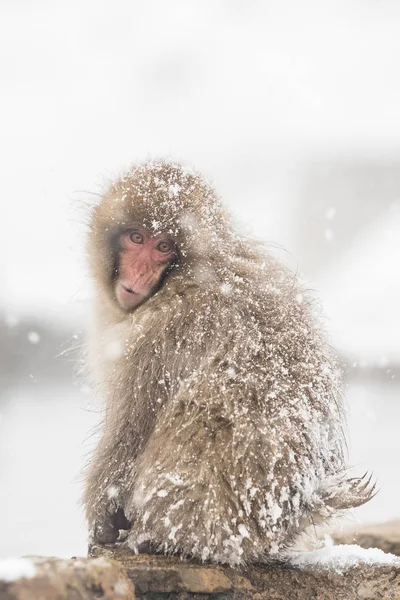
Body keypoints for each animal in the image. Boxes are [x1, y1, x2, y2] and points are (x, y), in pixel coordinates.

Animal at [83, 158, 374, 564]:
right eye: (136, 238)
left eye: (163, 246)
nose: (138, 273)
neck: (188, 273)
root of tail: (295, 512)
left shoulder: (163, 333)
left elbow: (130, 431)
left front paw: (103, 520)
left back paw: (154, 537)